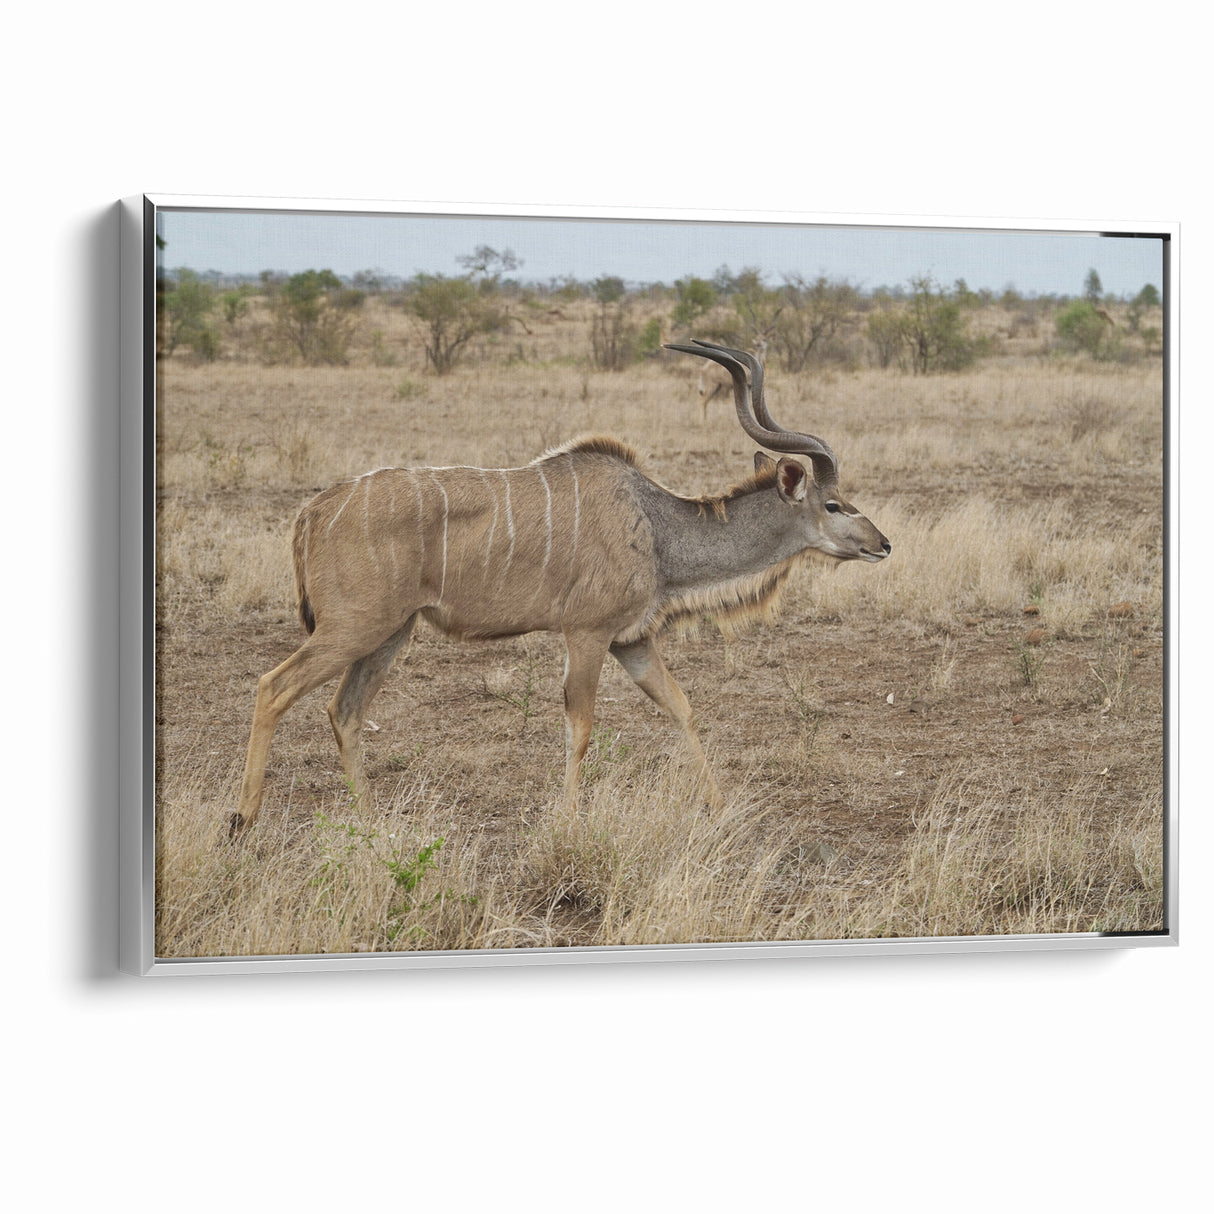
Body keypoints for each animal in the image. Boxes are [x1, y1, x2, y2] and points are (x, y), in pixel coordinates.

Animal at [232, 340, 890, 833]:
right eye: (834, 504)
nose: (882, 544)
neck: (656, 526)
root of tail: (314, 510)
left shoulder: (632, 641)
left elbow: (681, 707)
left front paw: (721, 807)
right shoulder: (587, 634)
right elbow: (581, 726)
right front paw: (570, 821)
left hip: (391, 632)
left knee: (343, 711)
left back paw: (371, 826)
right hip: (354, 627)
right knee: (274, 686)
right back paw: (243, 821)